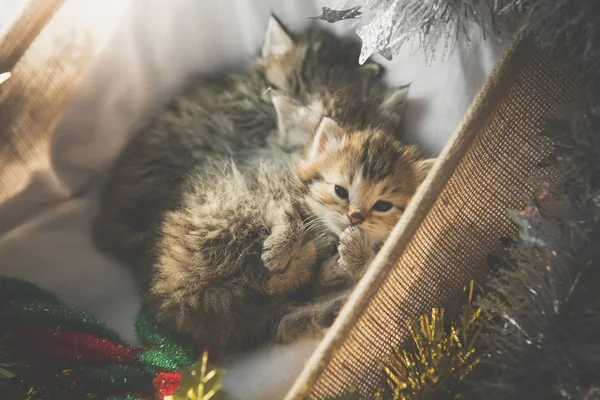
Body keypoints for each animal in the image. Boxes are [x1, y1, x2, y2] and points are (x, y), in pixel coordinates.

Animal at [146, 117, 436, 352]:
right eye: (340, 191)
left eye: (382, 206)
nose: (355, 217)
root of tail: (171, 298)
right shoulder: (264, 186)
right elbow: (288, 213)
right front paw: (280, 248)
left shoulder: (318, 275)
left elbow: (333, 271)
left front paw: (354, 254)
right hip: (230, 214)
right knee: (273, 280)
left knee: (285, 307)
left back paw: (334, 303)